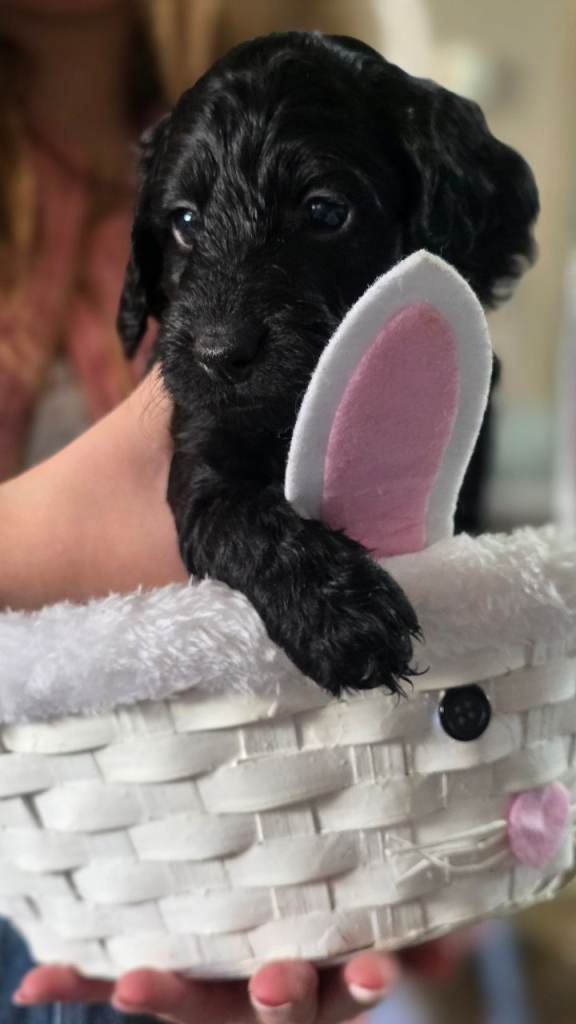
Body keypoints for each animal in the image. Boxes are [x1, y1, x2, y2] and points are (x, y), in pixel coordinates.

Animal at [117, 31, 538, 697]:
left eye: (324, 212)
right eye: (183, 221)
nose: (218, 355)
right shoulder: (202, 436)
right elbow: (239, 513)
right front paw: (342, 617)